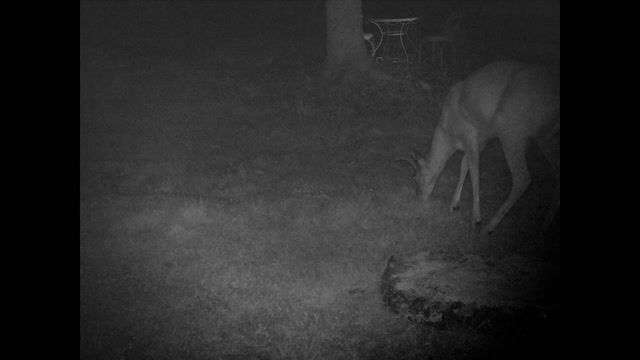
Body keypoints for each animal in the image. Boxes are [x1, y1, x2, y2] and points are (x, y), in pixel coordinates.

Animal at [402, 61, 556, 236]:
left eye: (414, 176)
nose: (419, 198)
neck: (449, 136)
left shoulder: (470, 134)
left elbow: (474, 173)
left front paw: (476, 218)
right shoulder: (482, 141)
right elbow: (464, 166)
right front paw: (453, 205)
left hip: (512, 129)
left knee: (522, 179)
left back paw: (489, 227)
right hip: (547, 138)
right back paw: (544, 226)